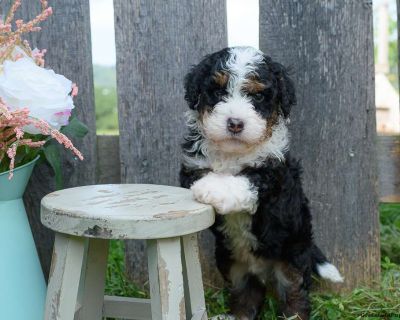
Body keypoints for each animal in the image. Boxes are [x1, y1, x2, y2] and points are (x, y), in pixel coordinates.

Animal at [180, 45, 342, 320]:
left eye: (257, 97)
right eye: (218, 92)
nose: (235, 124)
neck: (233, 153)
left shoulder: (275, 178)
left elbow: (247, 179)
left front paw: (214, 189)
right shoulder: (191, 166)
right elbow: (200, 175)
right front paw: (211, 183)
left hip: (292, 255)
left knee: (295, 293)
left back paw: (294, 316)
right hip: (232, 262)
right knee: (246, 294)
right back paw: (236, 316)